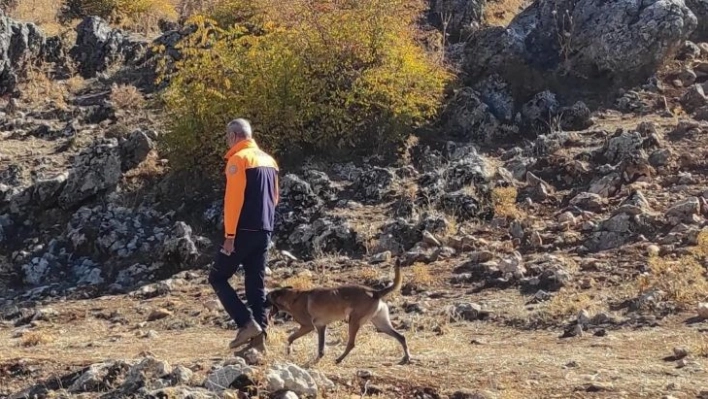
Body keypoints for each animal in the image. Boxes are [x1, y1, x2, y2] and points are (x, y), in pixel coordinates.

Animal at [264, 260, 410, 368]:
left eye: (267, 297)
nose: (262, 300)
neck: (292, 297)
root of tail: (375, 292)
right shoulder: (321, 327)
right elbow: (321, 348)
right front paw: (317, 360)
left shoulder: (307, 326)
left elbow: (290, 338)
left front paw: (289, 351)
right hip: (381, 324)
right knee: (401, 336)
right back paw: (406, 358)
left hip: (354, 321)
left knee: (351, 344)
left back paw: (339, 359)